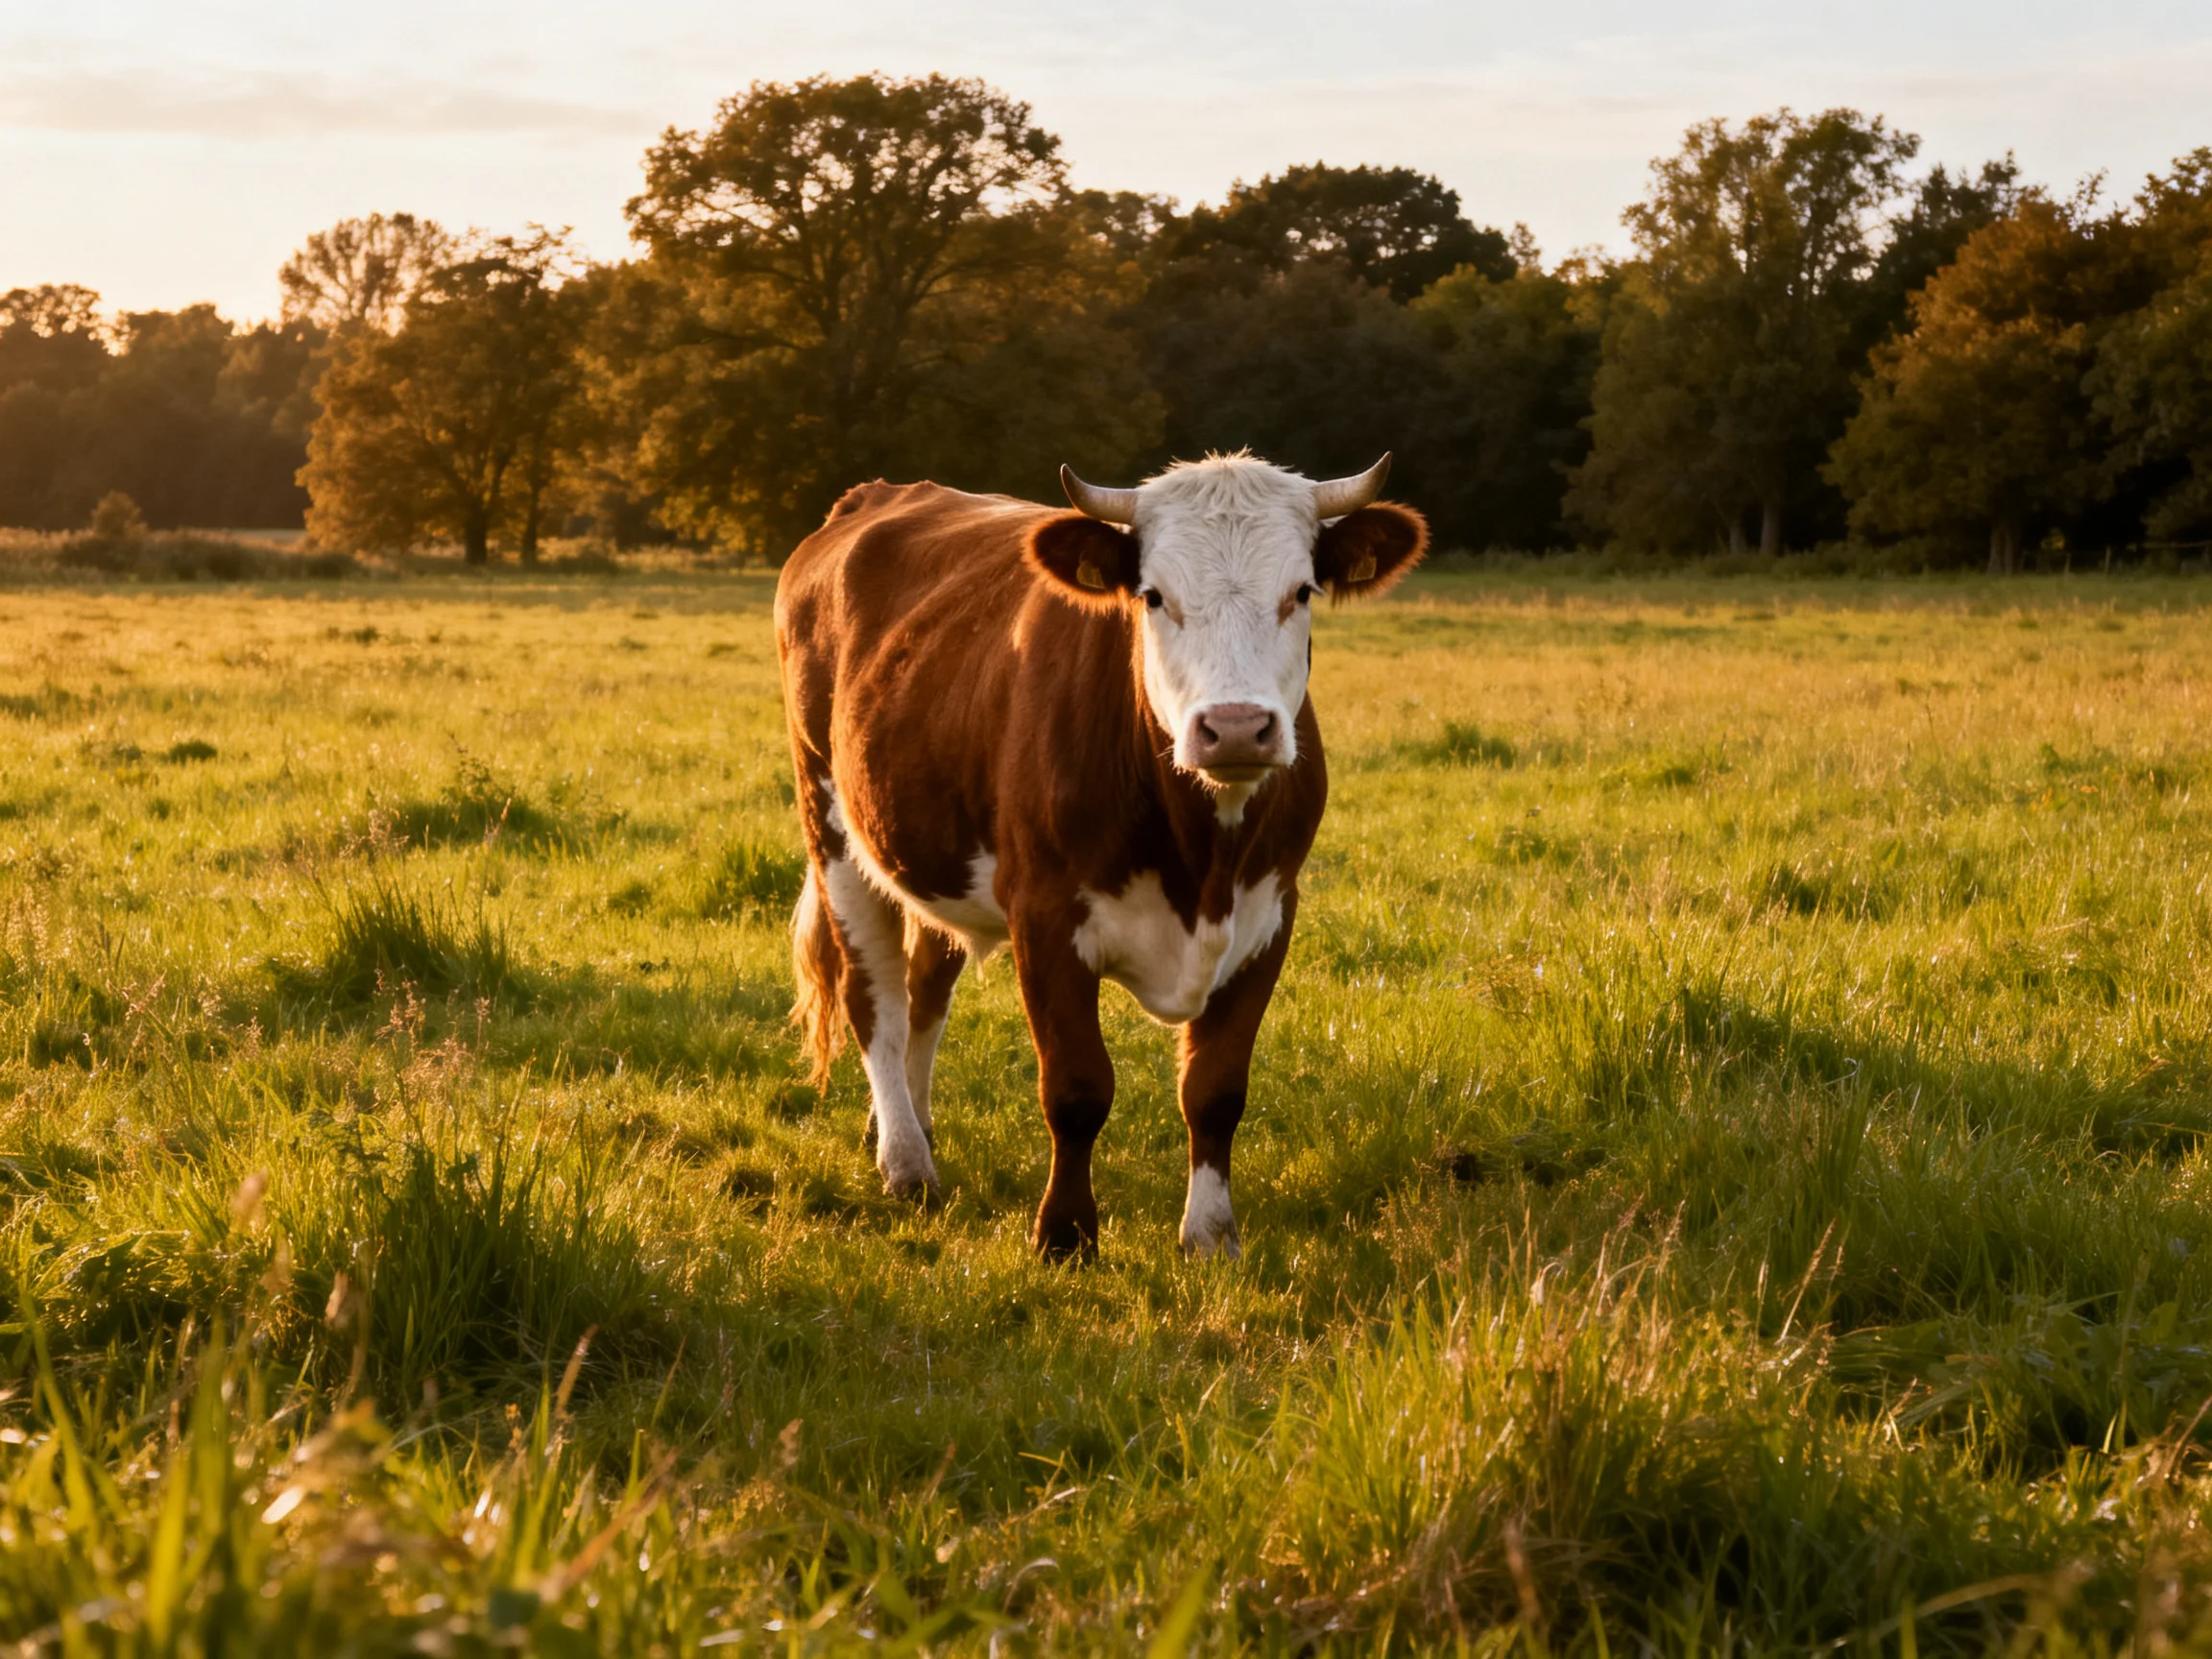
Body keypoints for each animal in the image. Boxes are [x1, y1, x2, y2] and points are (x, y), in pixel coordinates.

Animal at [774, 451, 1427, 1258]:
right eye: (1153, 596)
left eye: (1301, 591)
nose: (1235, 727)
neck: (1202, 861)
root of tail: (875, 496)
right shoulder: (1046, 916)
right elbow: (1077, 1087)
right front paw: (1064, 1236)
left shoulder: (1270, 914)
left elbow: (1215, 1089)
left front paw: (1211, 1236)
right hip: (831, 821)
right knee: (876, 998)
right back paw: (905, 1163)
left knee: (926, 987)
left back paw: (909, 1129)